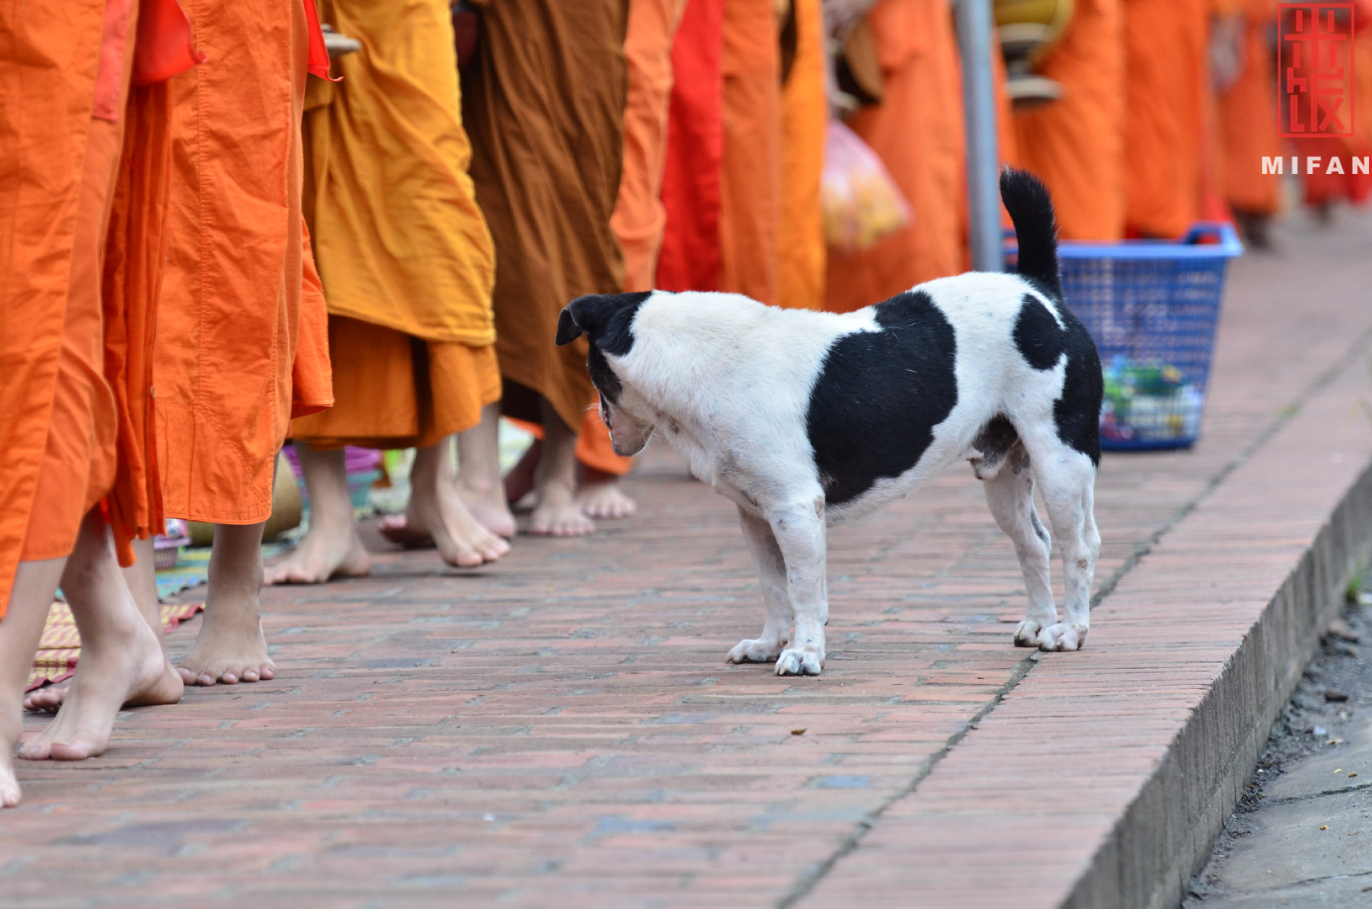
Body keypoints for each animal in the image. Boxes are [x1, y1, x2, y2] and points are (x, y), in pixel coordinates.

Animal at [557, 168, 1103, 674]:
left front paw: (802, 653)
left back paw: (1070, 631)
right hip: (1006, 479)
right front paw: (769, 644)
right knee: (1034, 543)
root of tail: (1037, 289)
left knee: (1078, 547)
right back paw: (1039, 623)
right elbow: (773, 587)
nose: (593, 418)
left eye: (594, 377)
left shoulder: (796, 509)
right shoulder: (757, 516)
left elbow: (803, 589)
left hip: (1061, 466)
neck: (692, 355)